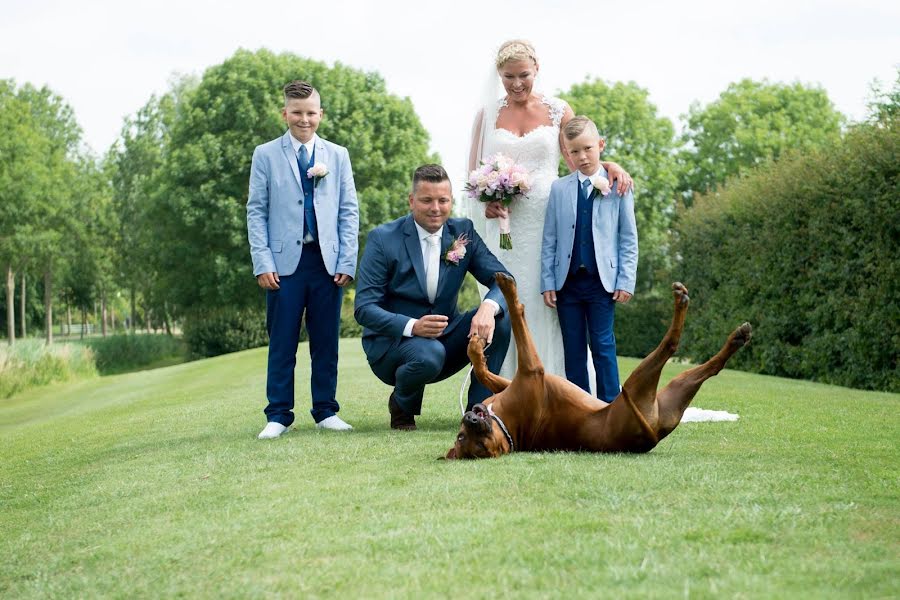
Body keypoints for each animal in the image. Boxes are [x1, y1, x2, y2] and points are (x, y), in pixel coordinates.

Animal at [444, 274, 752, 462]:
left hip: (672, 394)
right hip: (636, 389)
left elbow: (483, 371)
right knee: (671, 346)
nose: (471, 418)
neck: (504, 424)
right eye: (476, 444)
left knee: (709, 368)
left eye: (461, 434)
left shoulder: (511, 383)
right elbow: (518, 314)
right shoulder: (532, 371)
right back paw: (682, 304)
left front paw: (476, 346)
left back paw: (735, 338)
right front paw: (509, 291)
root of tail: (651, 437)